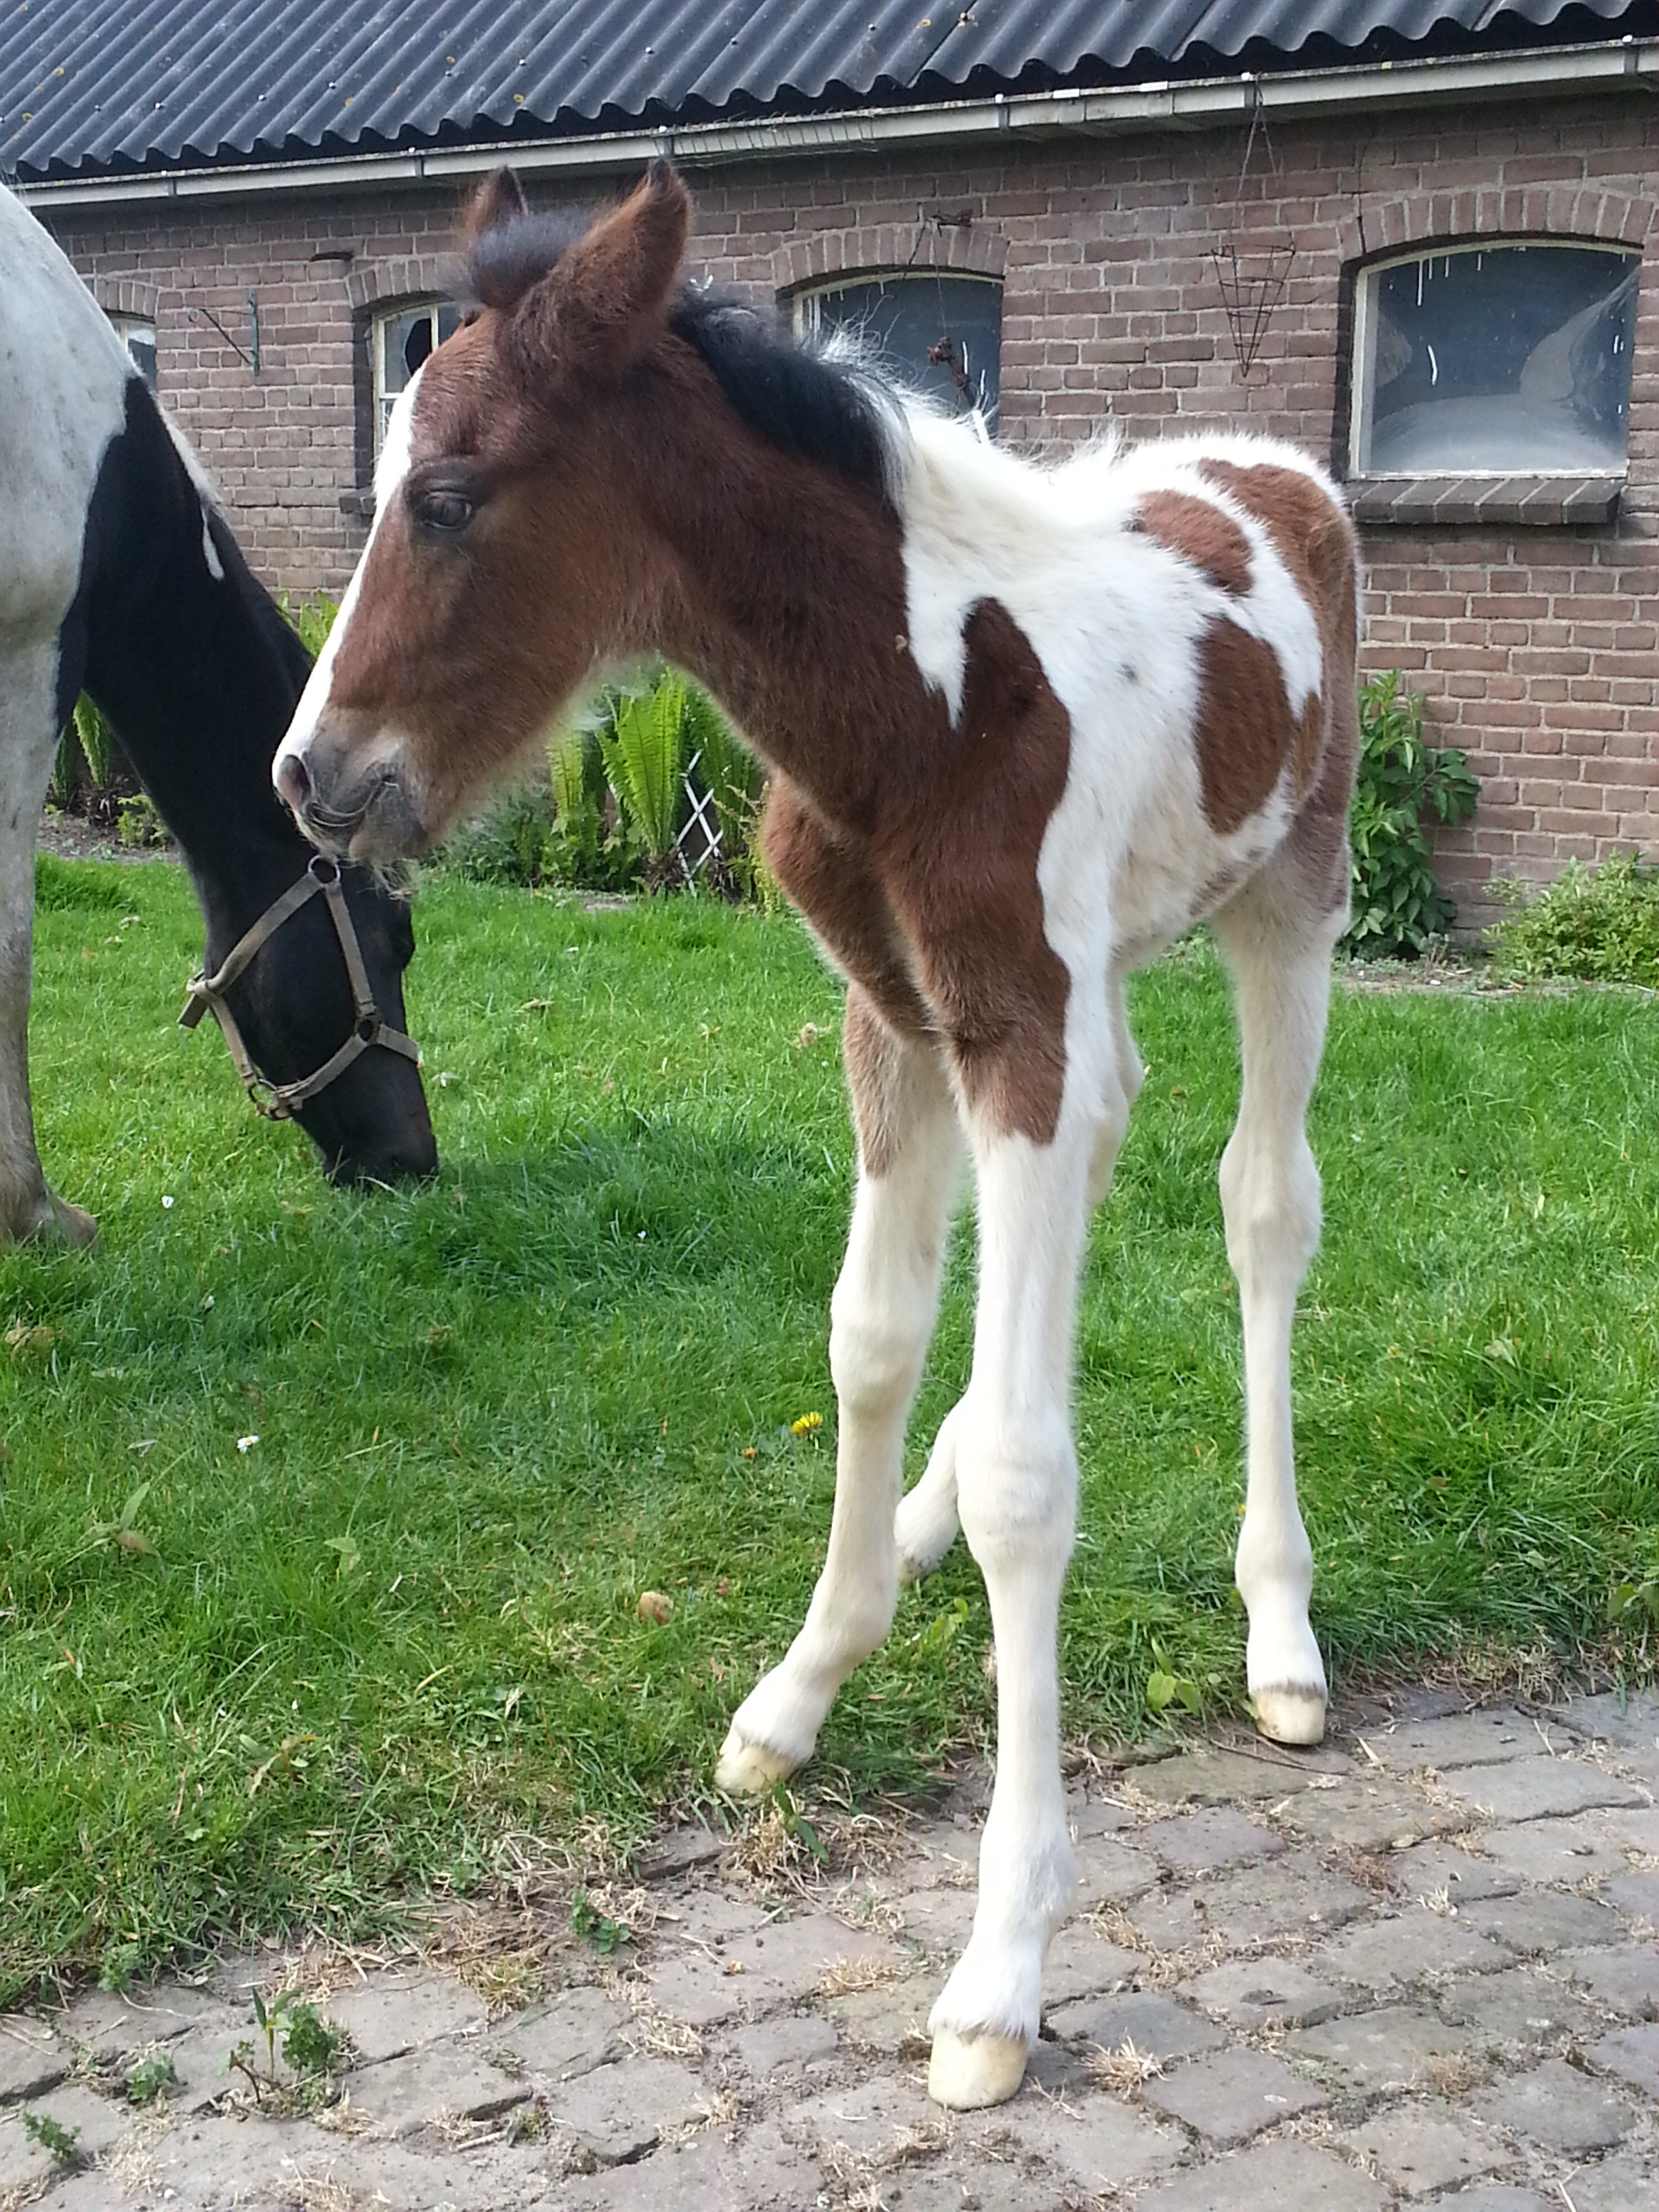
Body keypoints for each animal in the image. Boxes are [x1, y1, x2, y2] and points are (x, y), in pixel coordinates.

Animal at [276, 168, 1362, 2106]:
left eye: (450, 495)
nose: (309, 776)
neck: (921, 705)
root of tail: (1275, 470)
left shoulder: (1014, 1027)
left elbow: (1032, 1477)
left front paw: (998, 1971)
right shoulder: (904, 1019)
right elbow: (870, 1340)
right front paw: (802, 1684)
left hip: (1285, 902)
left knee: (1261, 1208)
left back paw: (1282, 1631)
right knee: (1106, 1167)